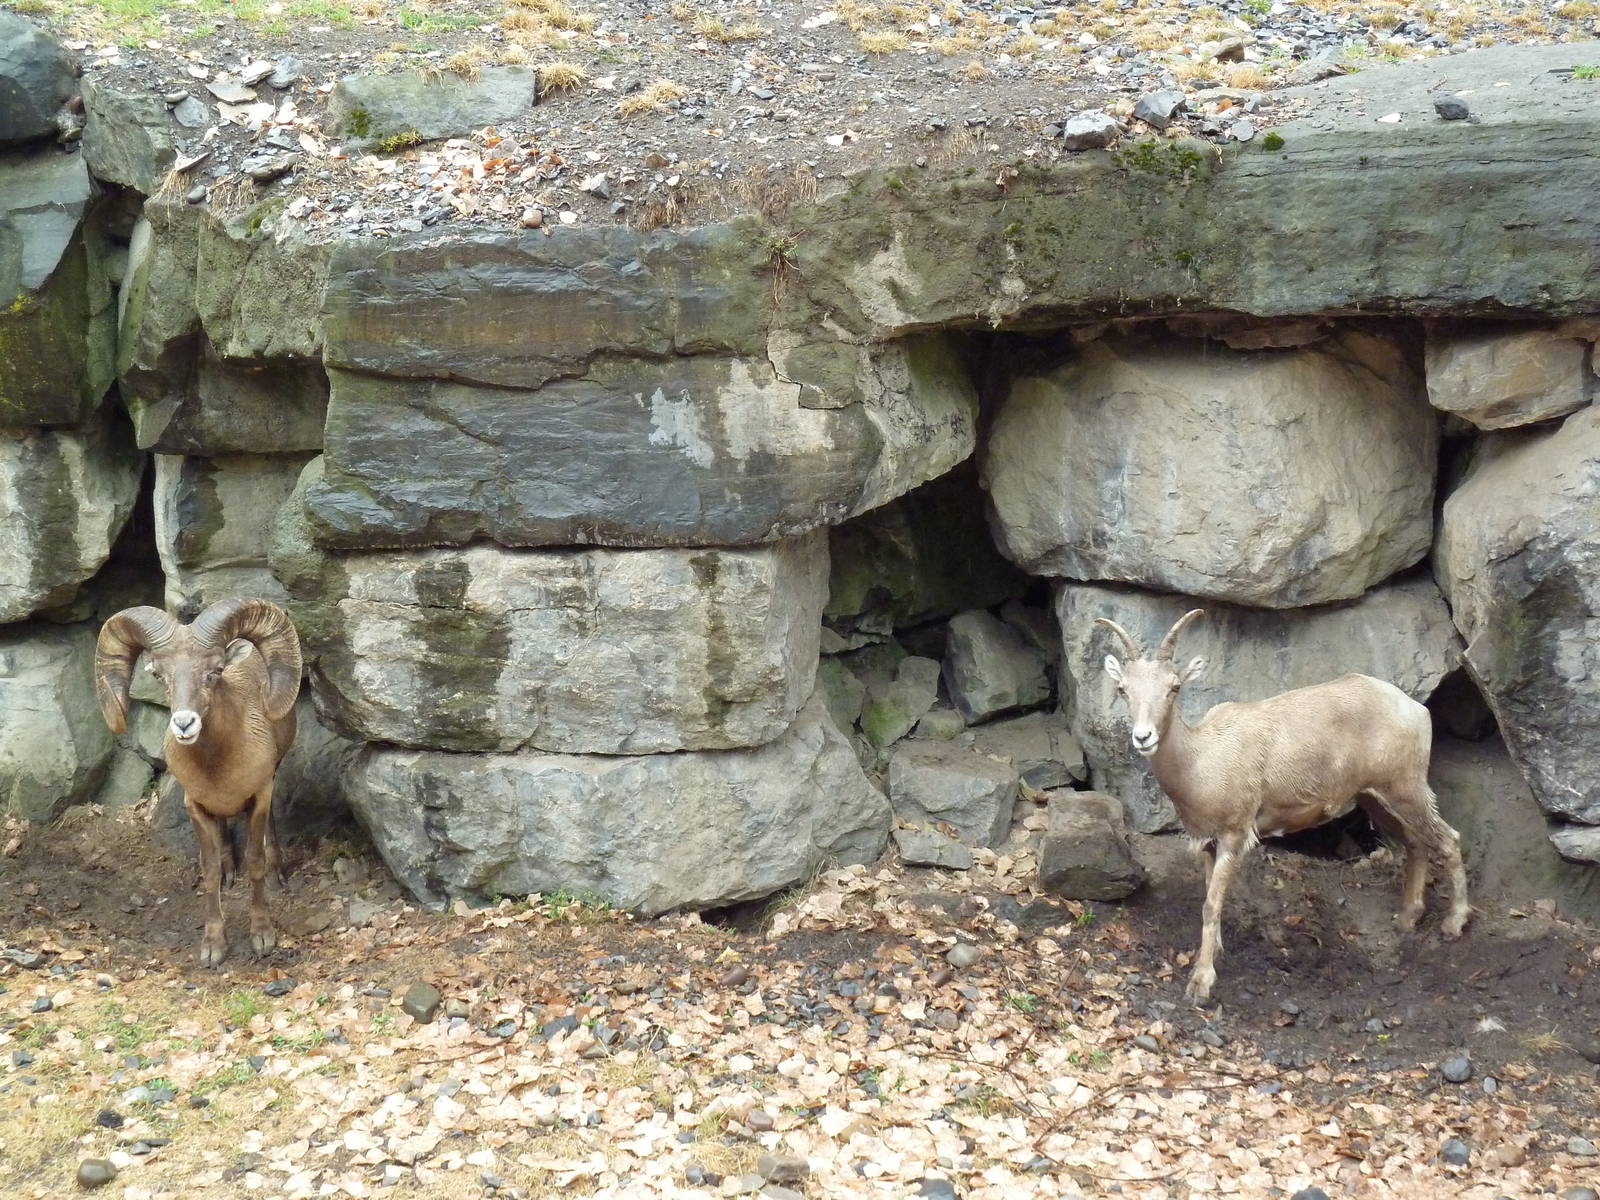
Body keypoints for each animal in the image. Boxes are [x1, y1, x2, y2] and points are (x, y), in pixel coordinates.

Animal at [94, 598, 302, 968]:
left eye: (215, 671)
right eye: (160, 675)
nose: (184, 724)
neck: (218, 767)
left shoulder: (260, 797)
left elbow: (255, 861)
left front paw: (262, 937)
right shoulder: (197, 807)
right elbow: (209, 872)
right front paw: (213, 947)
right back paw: (230, 873)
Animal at [1095, 608, 1470, 1003]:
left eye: (1175, 686)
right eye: (1123, 689)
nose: (1143, 737)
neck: (1203, 761)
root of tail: (1417, 710)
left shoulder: (1235, 833)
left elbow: (1211, 903)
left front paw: (1200, 983)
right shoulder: (1206, 840)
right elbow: (1210, 894)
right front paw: (1217, 952)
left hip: (1406, 787)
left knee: (1448, 839)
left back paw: (1453, 923)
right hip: (1376, 797)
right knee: (1415, 842)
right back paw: (1408, 916)